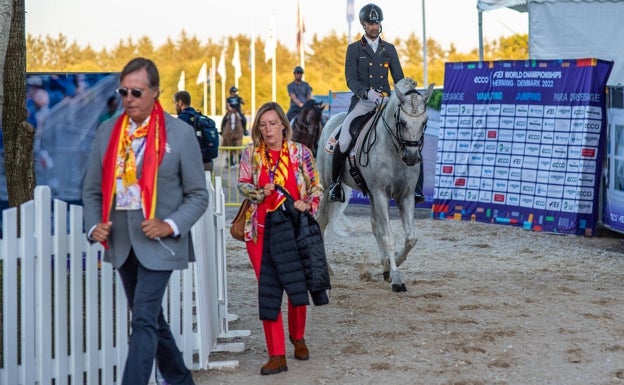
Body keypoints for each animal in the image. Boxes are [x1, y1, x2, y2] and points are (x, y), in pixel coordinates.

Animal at [316, 78, 434, 292]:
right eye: (402, 122)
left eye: (424, 122)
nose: (412, 158)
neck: (393, 149)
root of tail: (332, 119)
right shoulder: (380, 194)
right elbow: (388, 236)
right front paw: (397, 278)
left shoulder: (405, 196)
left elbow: (411, 237)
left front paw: (393, 262)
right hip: (329, 188)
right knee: (321, 220)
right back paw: (326, 269)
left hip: (370, 193)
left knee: (374, 224)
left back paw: (385, 266)